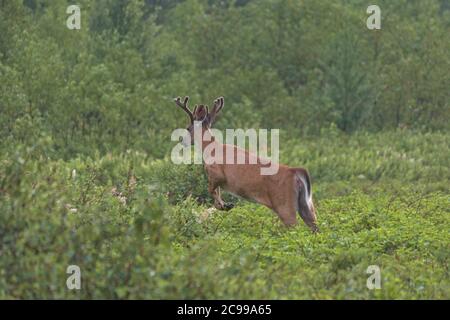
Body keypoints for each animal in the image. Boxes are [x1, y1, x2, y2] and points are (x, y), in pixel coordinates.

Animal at [174, 95, 318, 232]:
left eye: (188, 128)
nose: (182, 140)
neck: (210, 149)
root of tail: (296, 172)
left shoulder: (216, 174)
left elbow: (211, 190)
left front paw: (224, 206)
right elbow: (216, 194)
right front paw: (225, 205)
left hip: (285, 204)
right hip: (306, 205)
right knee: (315, 226)